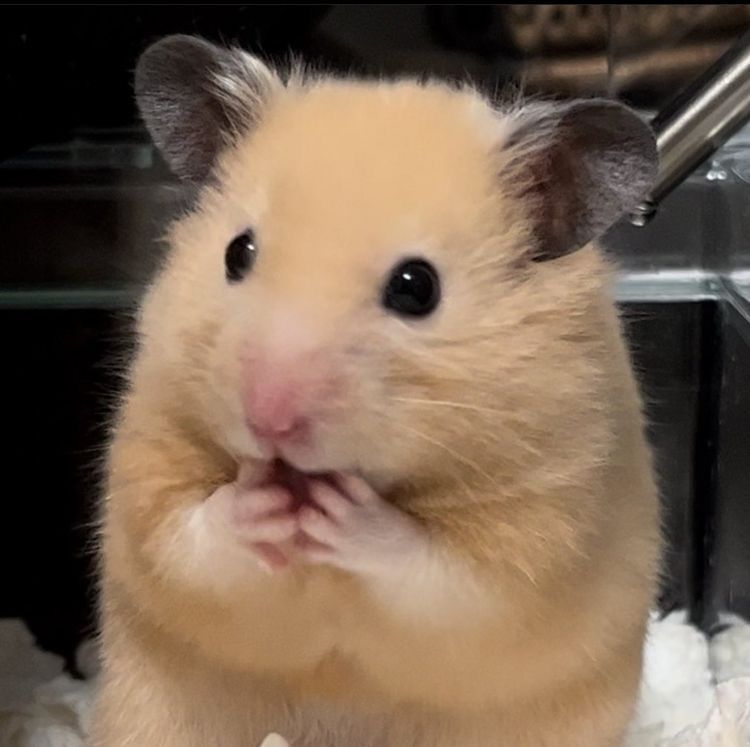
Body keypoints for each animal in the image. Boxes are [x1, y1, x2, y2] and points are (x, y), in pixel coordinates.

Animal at [91, 34, 661, 747]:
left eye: (417, 288)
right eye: (237, 252)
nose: (269, 420)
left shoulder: (543, 528)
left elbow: (442, 575)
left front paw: (342, 512)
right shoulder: (151, 458)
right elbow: (185, 538)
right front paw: (262, 502)